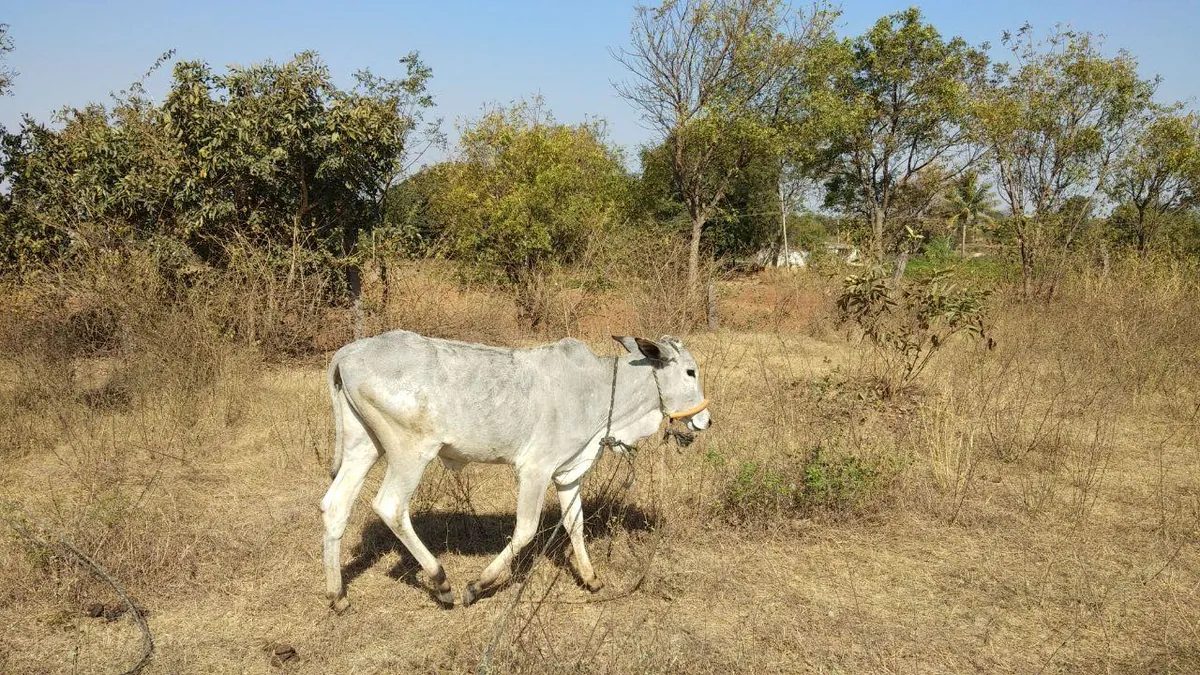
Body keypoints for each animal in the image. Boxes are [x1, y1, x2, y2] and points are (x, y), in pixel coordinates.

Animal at [320, 331, 711, 611]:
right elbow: (525, 530)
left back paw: (338, 596)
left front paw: (591, 578)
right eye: (690, 372)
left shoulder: (568, 472)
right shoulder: (535, 469)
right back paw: (441, 582)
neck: (599, 392)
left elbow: (575, 524)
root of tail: (349, 353)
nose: (706, 420)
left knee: (336, 506)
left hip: (364, 444)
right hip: (410, 452)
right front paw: (476, 586)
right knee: (390, 506)